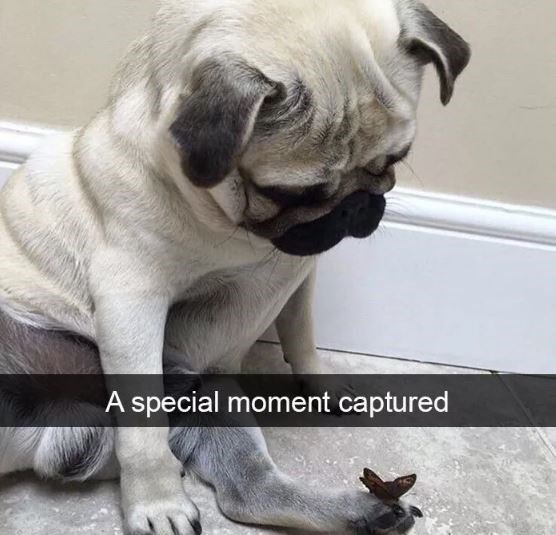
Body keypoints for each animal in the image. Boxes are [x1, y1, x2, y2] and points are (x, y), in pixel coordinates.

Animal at [0, 1, 470, 533]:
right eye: (288, 193)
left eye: (393, 161)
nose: (355, 207)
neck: (232, 231)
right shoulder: (130, 303)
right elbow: (143, 433)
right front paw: (157, 502)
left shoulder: (300, 276)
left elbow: (301, 334)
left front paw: (320, 381)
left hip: (210, 391)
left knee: (249, 491)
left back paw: (368, 512)